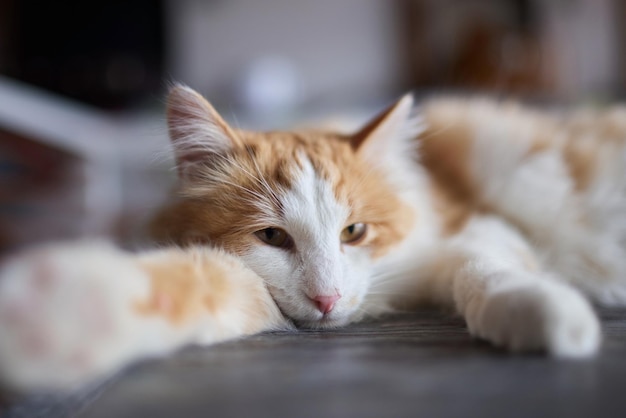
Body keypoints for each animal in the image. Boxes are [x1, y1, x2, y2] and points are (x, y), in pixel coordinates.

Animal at [1, 84, 624, 392]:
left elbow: (488, 270)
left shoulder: (474, 229)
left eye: (355, 231)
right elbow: (189, 286)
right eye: (272, 236)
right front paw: (68, 313)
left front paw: (544, 315)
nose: (327, 300)